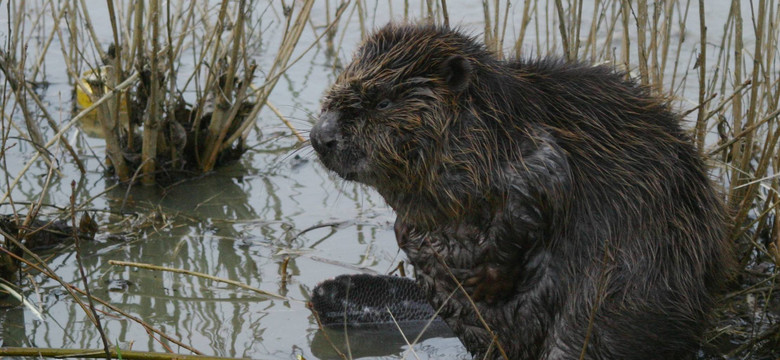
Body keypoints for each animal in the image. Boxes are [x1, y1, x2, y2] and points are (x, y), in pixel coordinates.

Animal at [308, 23, 728, 358]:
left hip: (621, 298)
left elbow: (542, 192)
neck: (497, 117)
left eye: (383, 101)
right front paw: (425, 252)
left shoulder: (533, 148)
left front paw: (482, 277)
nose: (320, 137)